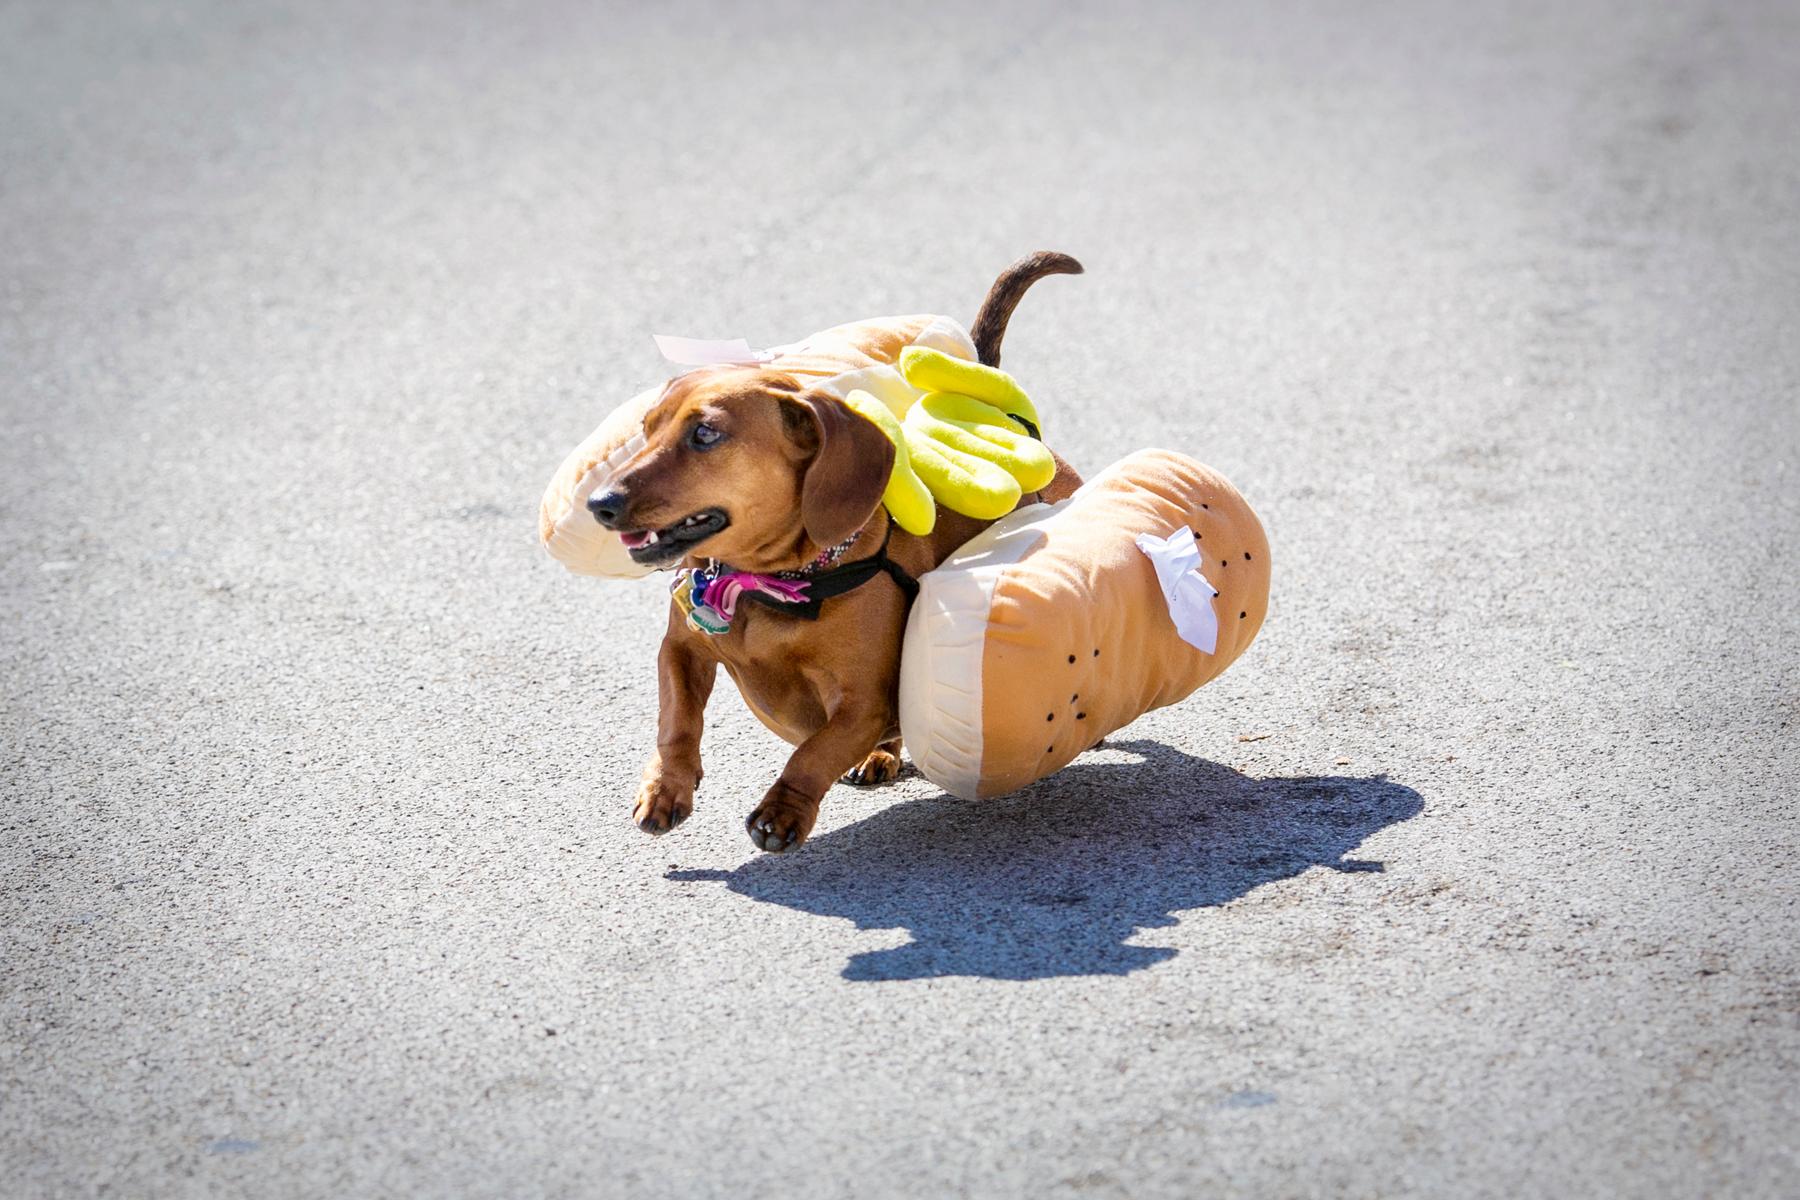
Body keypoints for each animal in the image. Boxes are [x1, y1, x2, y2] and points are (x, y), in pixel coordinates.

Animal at [590, 253, 1080, 852]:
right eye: (646, 428)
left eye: (705, 433)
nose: (600, 503)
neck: (767, 582)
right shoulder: (681, 649)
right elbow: (676, 719)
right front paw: (666, 788)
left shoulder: (863, 702)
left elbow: (812, 753)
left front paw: (782, 813)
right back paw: (878, 757)